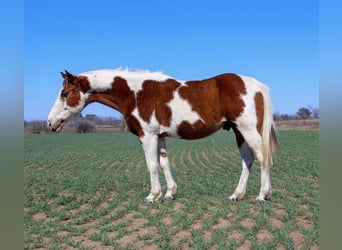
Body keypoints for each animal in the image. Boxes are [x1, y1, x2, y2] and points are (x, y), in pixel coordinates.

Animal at [47, 68, 278, 203]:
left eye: (64, 93)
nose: (50, 123)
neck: (136, 93)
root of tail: (257, 85)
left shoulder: (147, 135)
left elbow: (151, 165)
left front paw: (152, 195)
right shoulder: (160, 136)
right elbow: (164, 163)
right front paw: (169, 193)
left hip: (248, 129)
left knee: (263, 158)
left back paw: (262, 195)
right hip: (239, 131)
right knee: (247, 160)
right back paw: (236, 195)